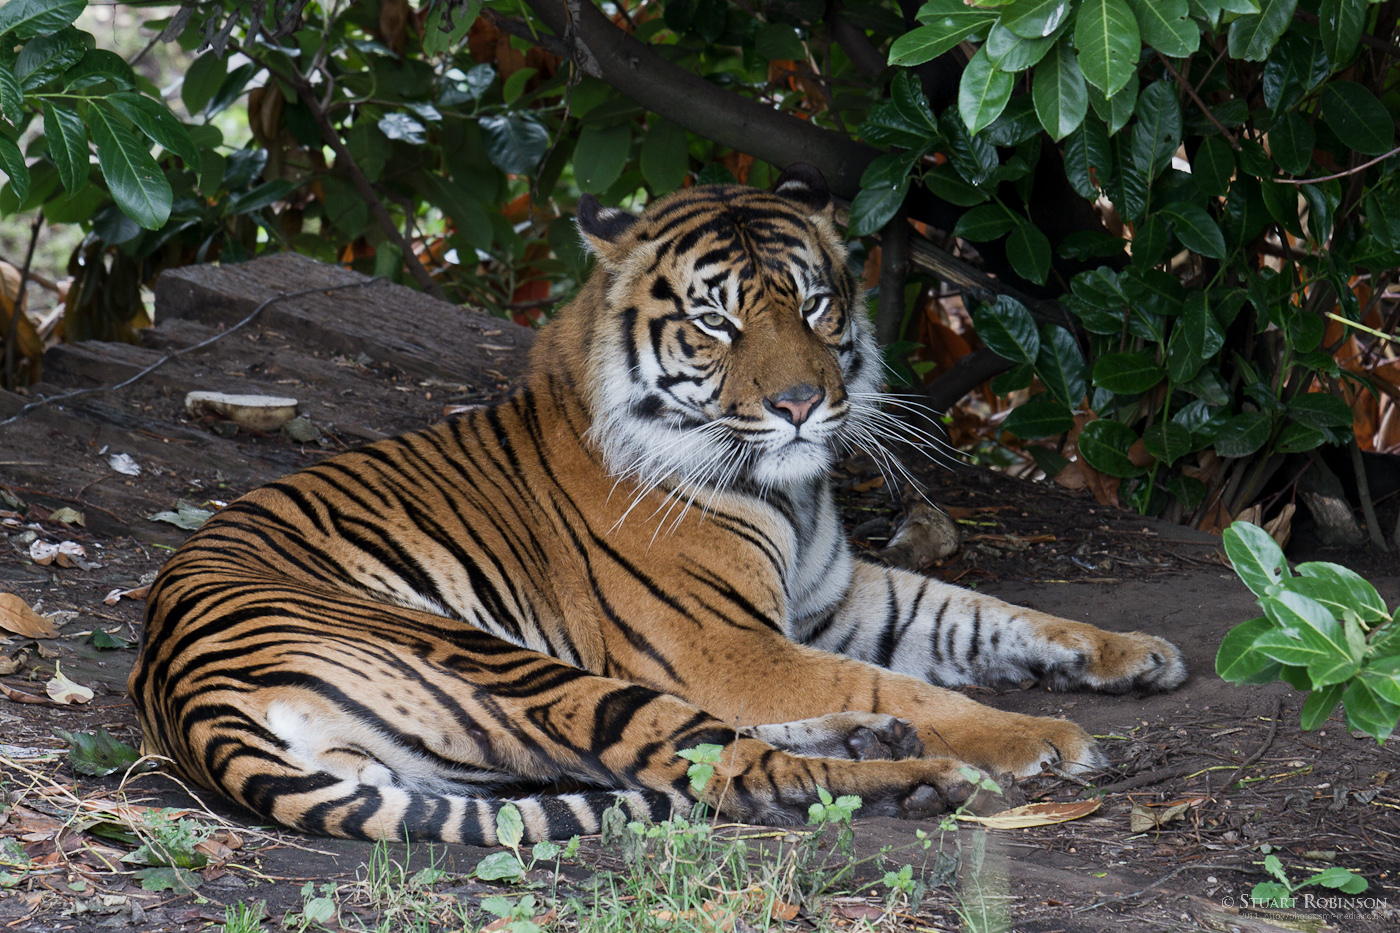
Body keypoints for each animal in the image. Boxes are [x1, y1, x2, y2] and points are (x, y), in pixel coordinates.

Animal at [128, 164, 1186, 845]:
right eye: (716, 320)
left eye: (814, 305)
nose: (802, 405)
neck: (792, 491)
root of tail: (179, 690)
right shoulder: (724, 642)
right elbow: (909, 683)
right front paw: (1040, 739)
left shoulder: (834, 599)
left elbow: (982, 614)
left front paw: (1131, 653)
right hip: (524, 670)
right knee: (727, 767)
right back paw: (915, 773)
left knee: (707, 754)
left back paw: (871, 742)